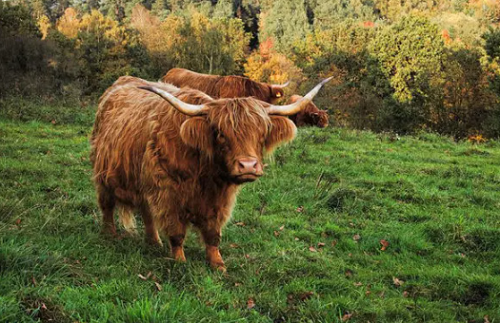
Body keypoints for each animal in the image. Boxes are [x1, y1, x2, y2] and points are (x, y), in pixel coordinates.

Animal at [91, 75, 332, 270]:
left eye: (262, 132)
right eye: (220, 133)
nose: (248, 166)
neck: (205, 174)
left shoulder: (220, 201)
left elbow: (213, 234)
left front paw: (218, 265)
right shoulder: (168, 194)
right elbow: (176, 232)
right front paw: (180, 262)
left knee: (146, 210)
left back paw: (153, 242)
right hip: (103, 174)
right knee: (107, 205)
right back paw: (109, 234)